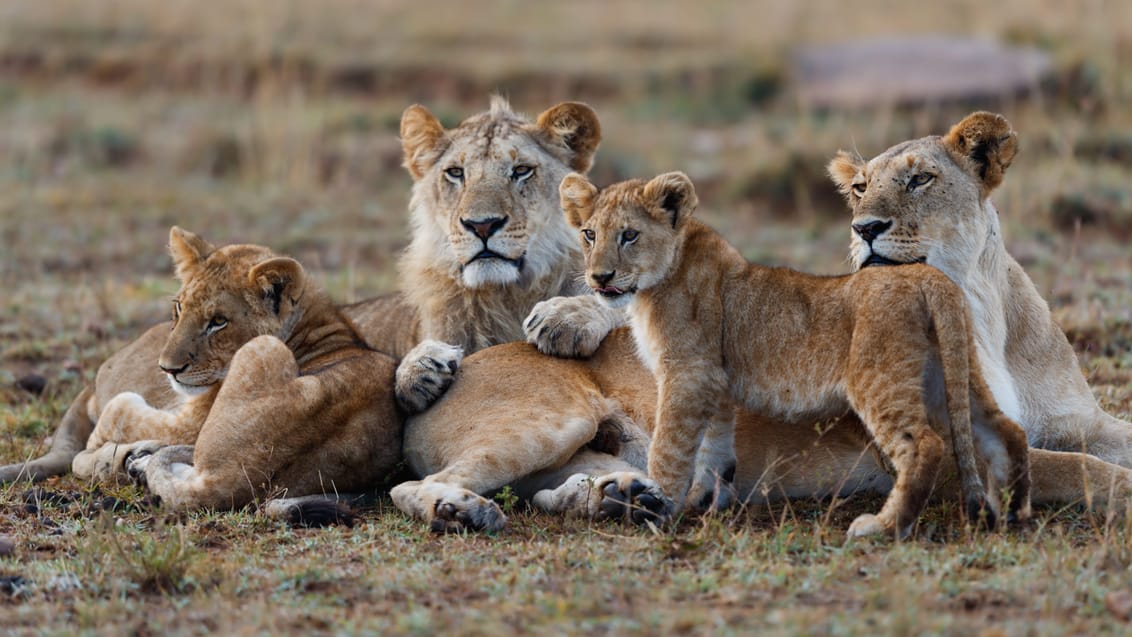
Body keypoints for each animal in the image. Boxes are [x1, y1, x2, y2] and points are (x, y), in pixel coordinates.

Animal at [71, 229, 402, 513]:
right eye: (179, 307)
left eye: (218, 321)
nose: (167, 368)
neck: (316, 326)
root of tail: (229, 481)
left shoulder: (190, 422)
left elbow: (119, 412)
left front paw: (102, 444)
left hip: (265, 347)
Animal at [561, 170, 1032, 538]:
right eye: (589, 234)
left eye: (629, 235)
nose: (599, 277)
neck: (657, 281)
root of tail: (926, 276)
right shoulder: (713, 380)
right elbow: (714, 448)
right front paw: (704, 500)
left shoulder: (686, 374)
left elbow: (670, 447)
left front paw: (655, 501)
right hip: (953, 372)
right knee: (1005, 429)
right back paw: (1012, 511)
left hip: (878, 377)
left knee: (924, 445)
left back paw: (881, 527)